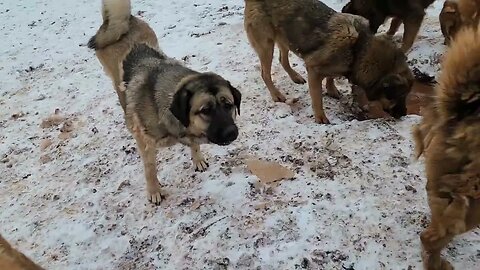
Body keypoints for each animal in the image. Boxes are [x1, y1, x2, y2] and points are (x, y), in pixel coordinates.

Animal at [87, 0, 240, 204]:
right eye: (205, 110)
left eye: (228, 105)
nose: (232, 132)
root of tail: (120, 21)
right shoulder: (145, 145)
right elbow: (150, 170)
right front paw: (154, 191)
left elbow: (195, 145)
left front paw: (198, 159)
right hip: (114, 78)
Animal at [244, 0, 412, 124]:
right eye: (398, 96)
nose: (404, 114)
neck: (358, 49)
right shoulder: (313, 69)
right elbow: (317, 98)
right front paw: (320, 117)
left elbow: (331, 77)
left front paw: (331, 89)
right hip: (266, 45)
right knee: (265, 73)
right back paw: (276, 94)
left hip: (286, 36)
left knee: (282, 59)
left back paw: (295, 76)